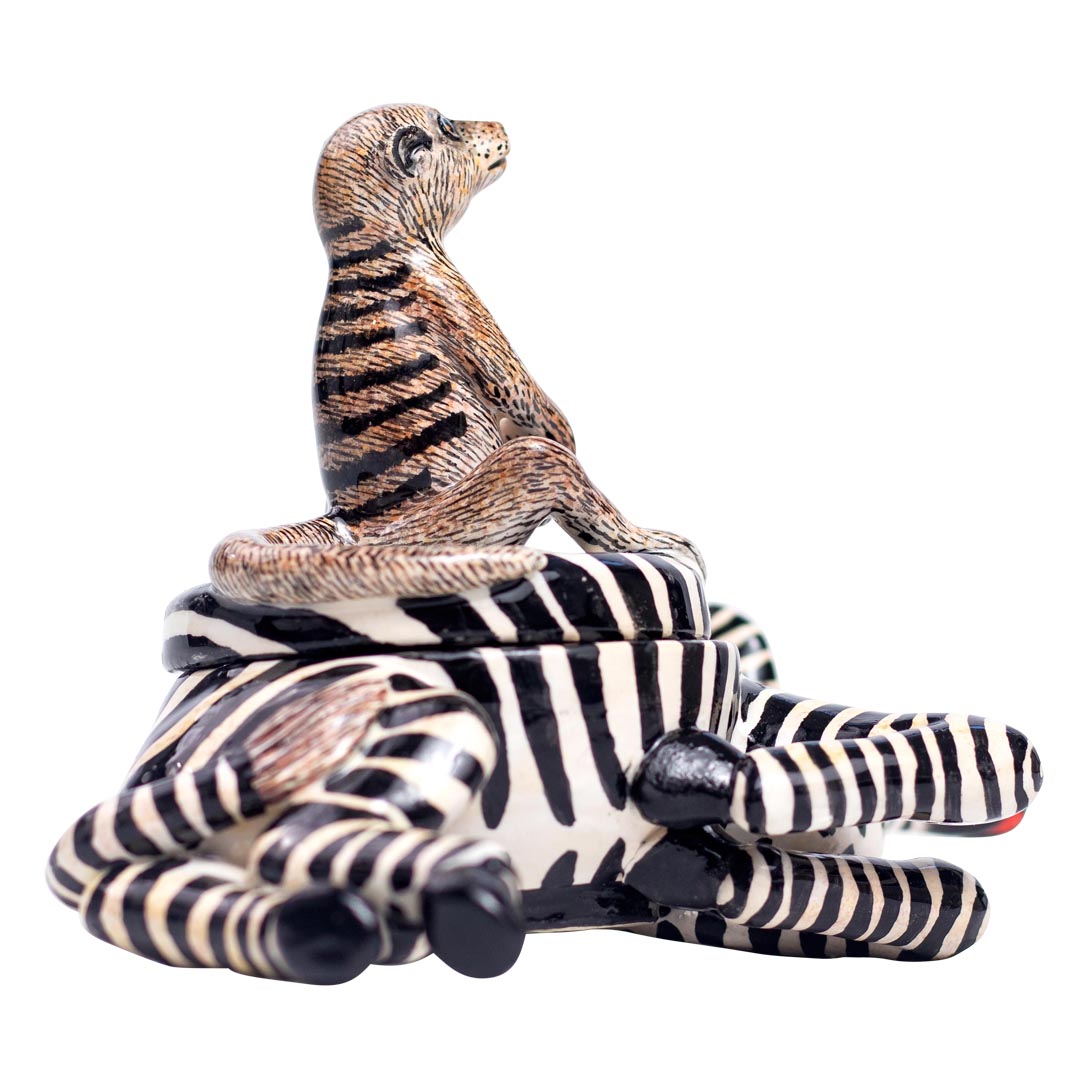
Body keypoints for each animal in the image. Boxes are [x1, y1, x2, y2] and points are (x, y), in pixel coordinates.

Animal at [48, 551, 1042, 983]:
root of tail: (174, 737)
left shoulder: (690, 911)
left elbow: (948, 899)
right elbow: (979, 754)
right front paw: (694, 775)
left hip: (182, 849)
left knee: (150, 898)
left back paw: (342, 927)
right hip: (429, 717)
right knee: (304, 840)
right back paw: (460, 898)